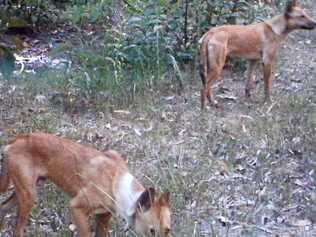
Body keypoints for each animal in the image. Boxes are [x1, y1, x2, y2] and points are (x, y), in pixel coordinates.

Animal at [0, 133, 170, 237]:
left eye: (167, 231)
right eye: (152, 231)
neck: (118, 185)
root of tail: (14, 141)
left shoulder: (104, 216)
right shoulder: (76, 207)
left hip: (25, 192)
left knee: (2, 207)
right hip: (29, 197)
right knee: (17, 231)